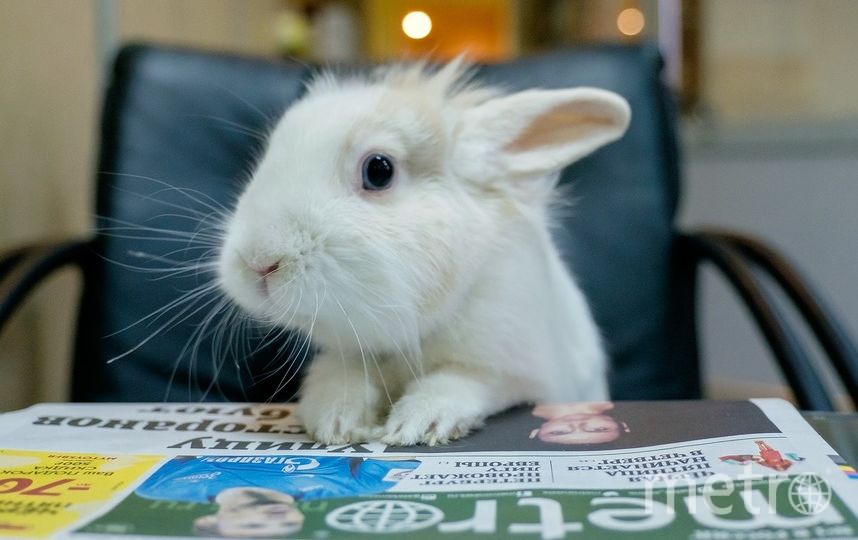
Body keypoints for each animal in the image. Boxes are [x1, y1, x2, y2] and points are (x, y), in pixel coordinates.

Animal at [218, 59, 631, 446]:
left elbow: (459, 382)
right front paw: (335, 422)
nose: (257, 262)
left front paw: (417, 424)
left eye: (379, 170)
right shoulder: (348, 357)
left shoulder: (515, 373)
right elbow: (338, 381)